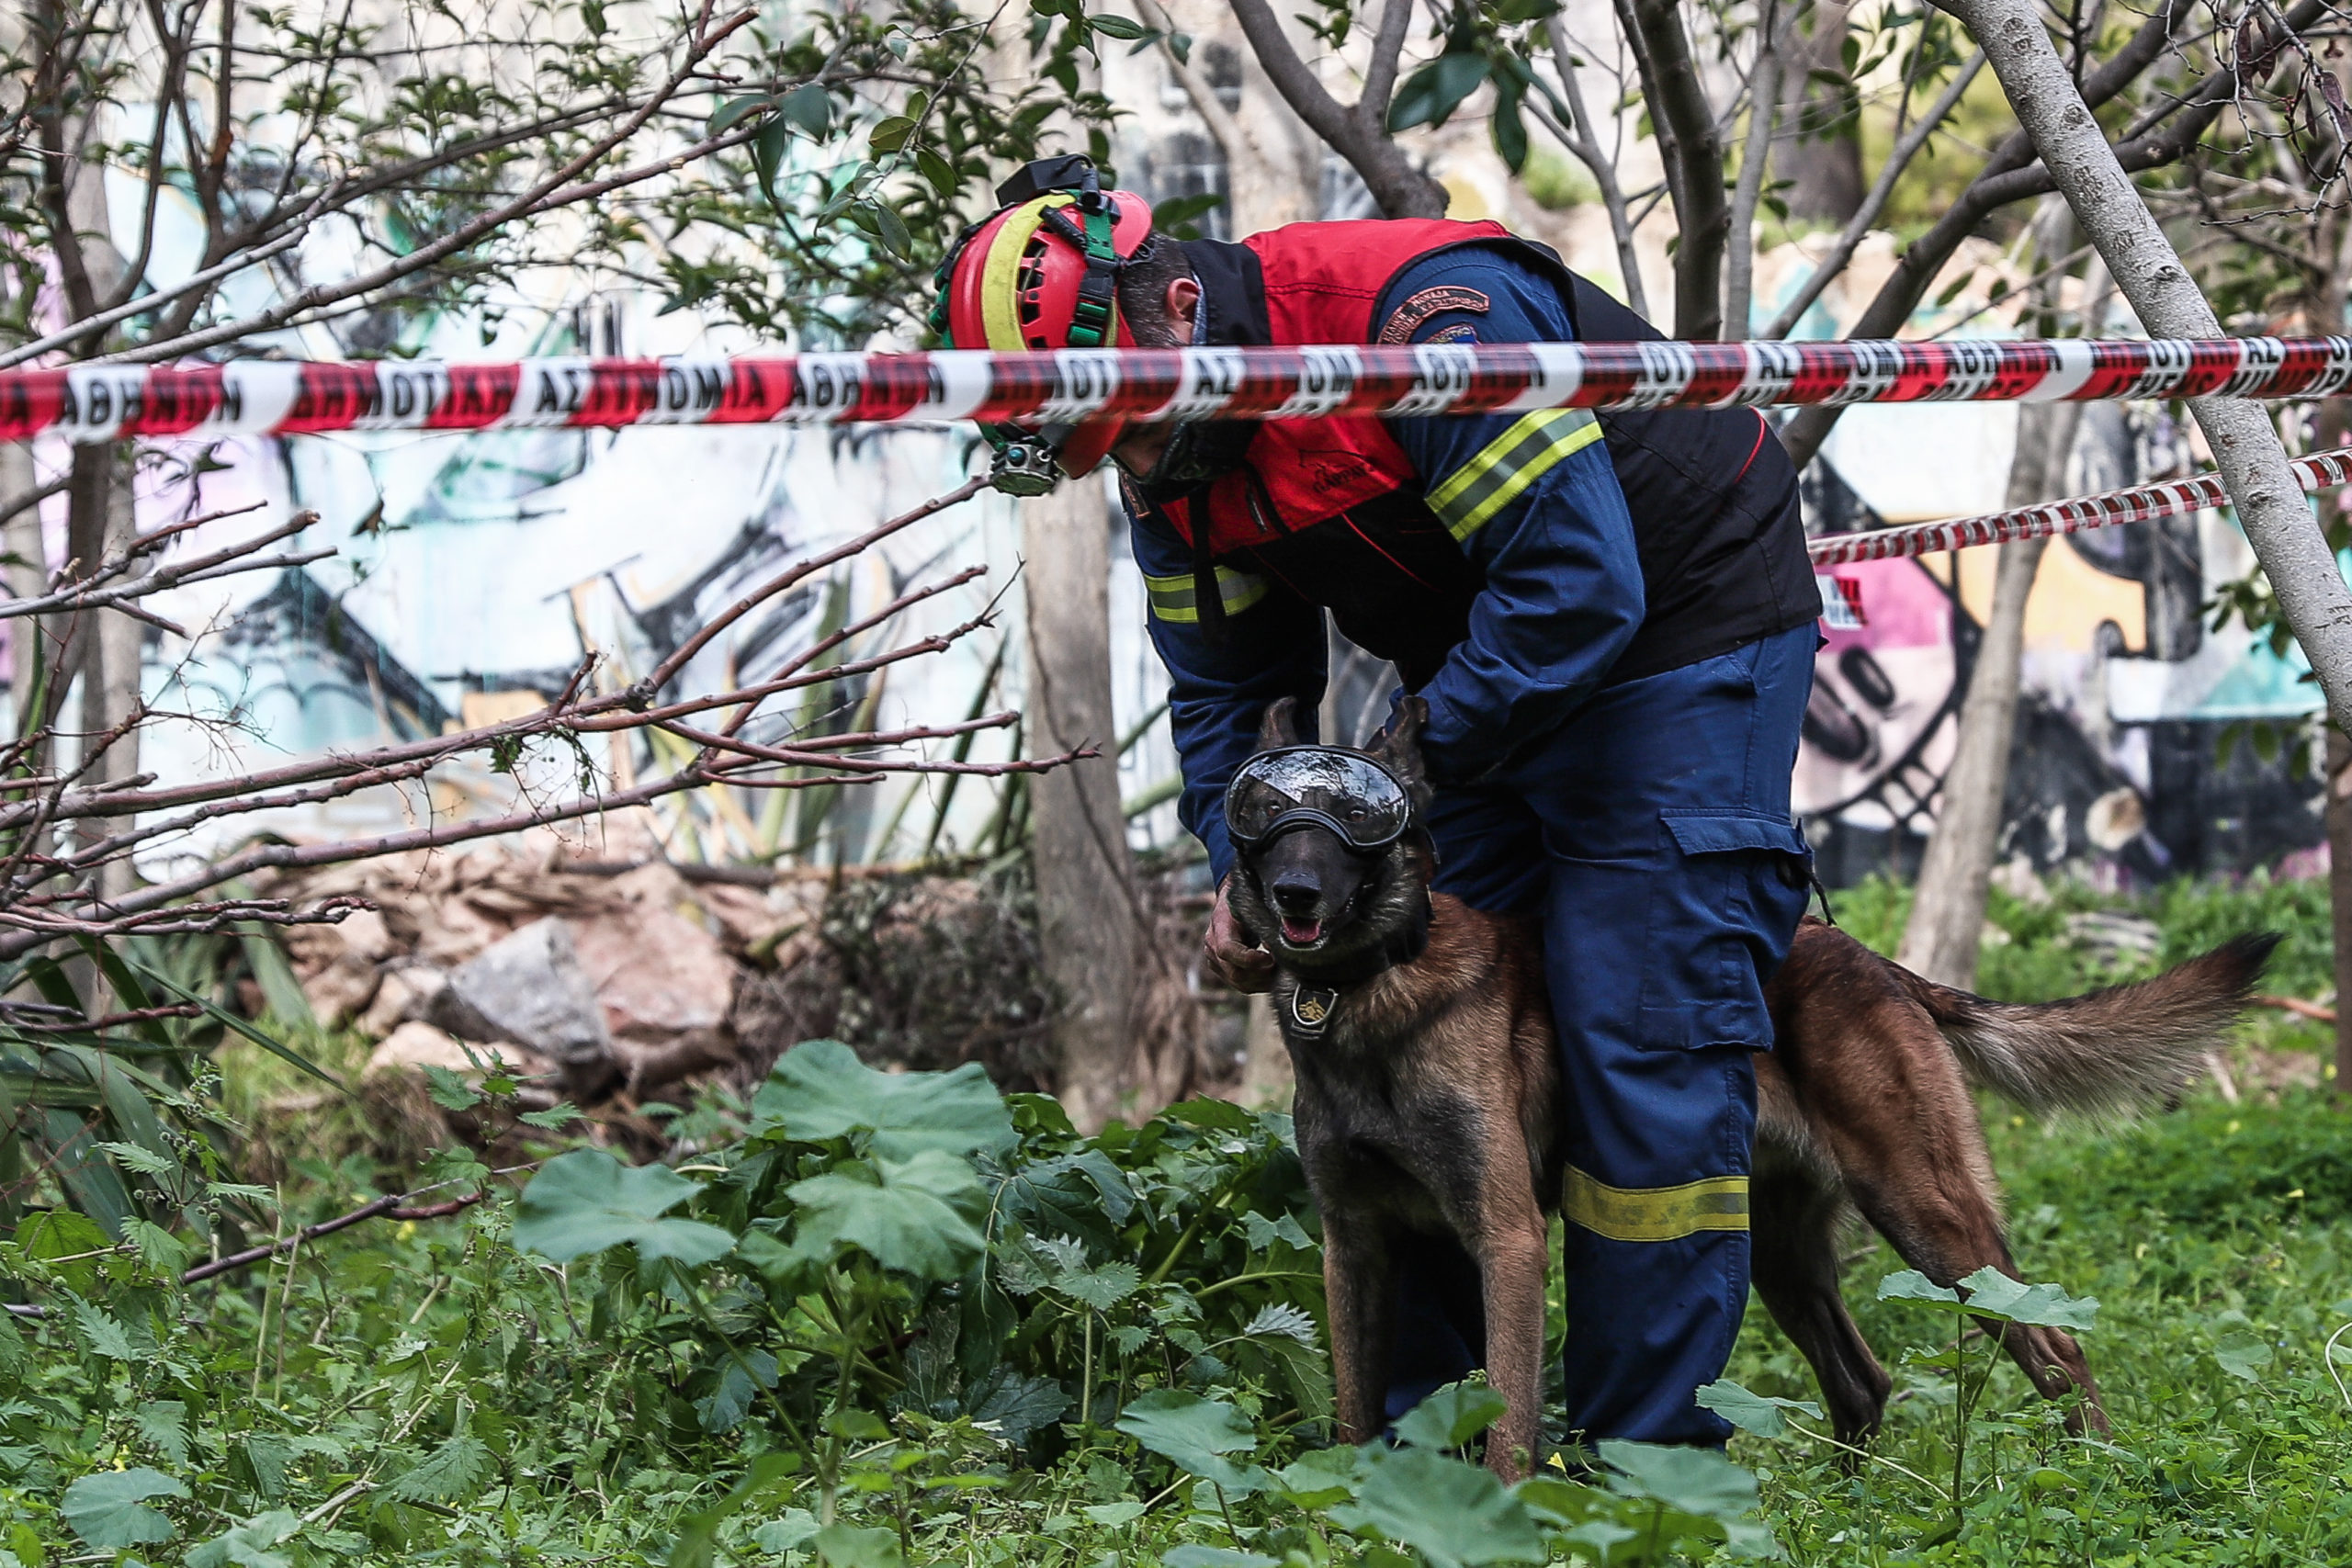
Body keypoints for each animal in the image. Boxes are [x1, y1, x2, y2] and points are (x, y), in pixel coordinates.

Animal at [1232, 700, 2277, 1485]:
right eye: (1266, 814)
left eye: (1356, 823)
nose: (1293, 894)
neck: (1367, 991)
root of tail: (1882, 965)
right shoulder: (1355, 1246)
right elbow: (1354, 1406)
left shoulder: (1508, 1239)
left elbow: (1510, 1420)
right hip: (1782, 1250)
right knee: (1863, 1381)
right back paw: (1852, 1511)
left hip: (1927, 1212)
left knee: (2055, 1347)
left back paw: (2098, 1484)